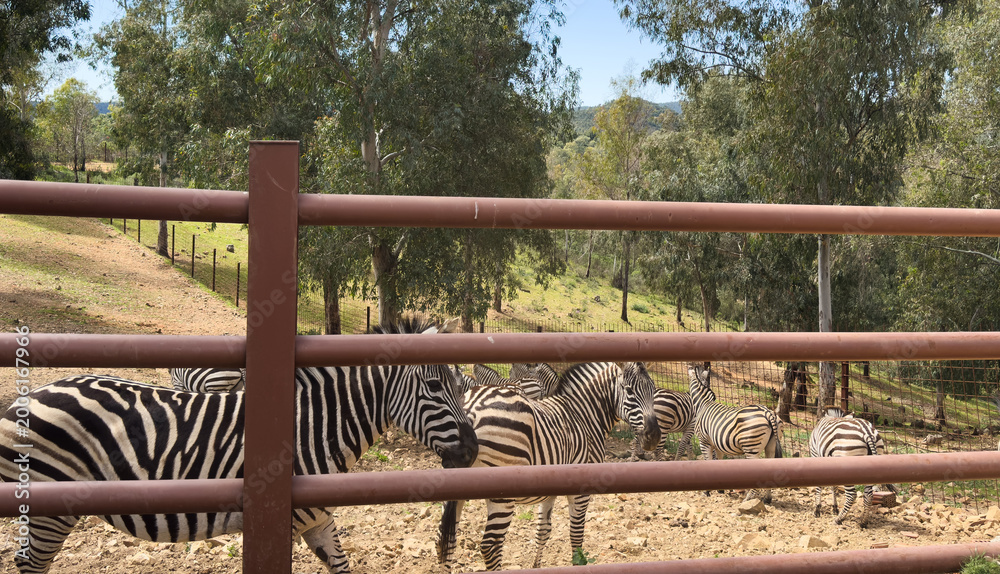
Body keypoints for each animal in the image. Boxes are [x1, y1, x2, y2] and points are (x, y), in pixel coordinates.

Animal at [0, 317, 478, 574]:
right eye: (435, 387)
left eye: (461, 384)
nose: (472, 452)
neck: (313, 426)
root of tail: (29, 396)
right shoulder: (282, 523)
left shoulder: (318, 519)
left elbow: (342, 565)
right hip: (50, 512)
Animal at [436, 362, 661, 571]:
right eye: (629, 390)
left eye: (653, 390)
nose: (654, 436)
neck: (584, 416)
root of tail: (471, 407)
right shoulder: (582, 490)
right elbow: (576, 535)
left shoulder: (549, 489)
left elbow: (543, 532)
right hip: (502, 493)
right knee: (490, 546)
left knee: (445, 541)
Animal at [688, 363, 783, 503]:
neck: (703, 404)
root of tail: (768, 412)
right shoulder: (717, 444)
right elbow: (718, 462)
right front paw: (720, 489)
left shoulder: (703, 441)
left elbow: (708, 461)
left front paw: (706, 491)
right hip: (770, 446)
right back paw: (767, 499)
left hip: (751, 446)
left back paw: (748, 499)